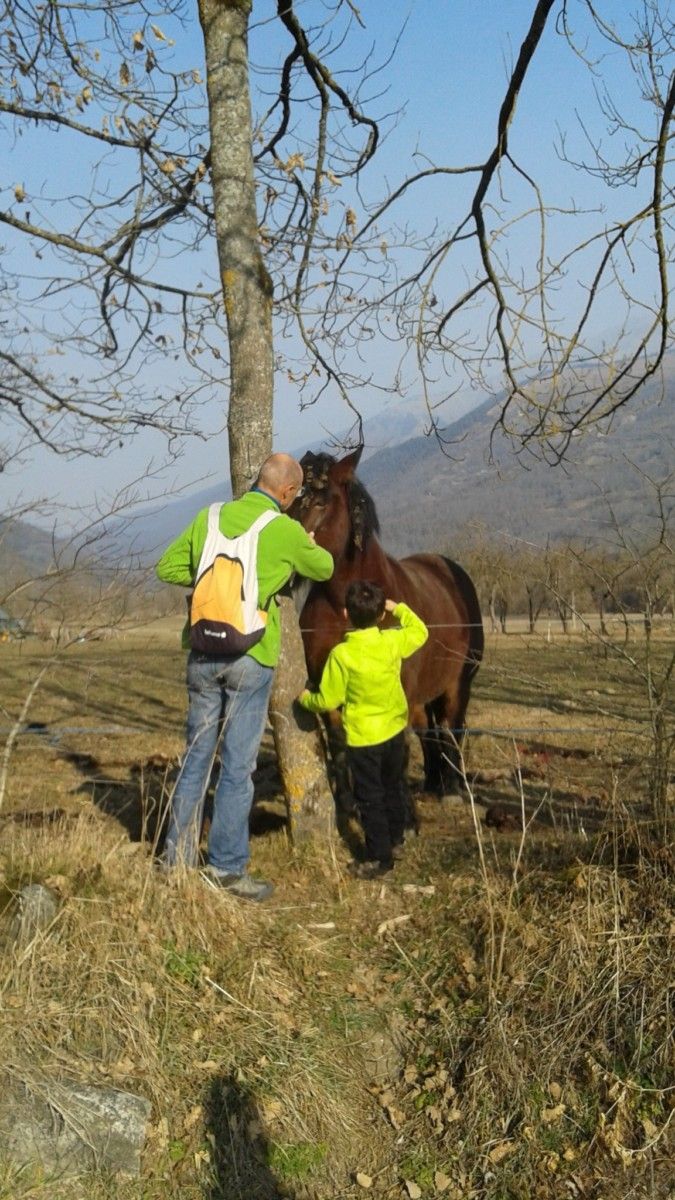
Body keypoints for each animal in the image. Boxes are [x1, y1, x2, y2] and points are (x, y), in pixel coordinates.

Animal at [291, 446, 480, 792]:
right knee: (429, 730)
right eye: (294, 499)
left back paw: (454, 787)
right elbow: (341, 747)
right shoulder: (328, 694)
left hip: (459, 684)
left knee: (453, 730)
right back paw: (433, 782)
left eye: (321, 502)